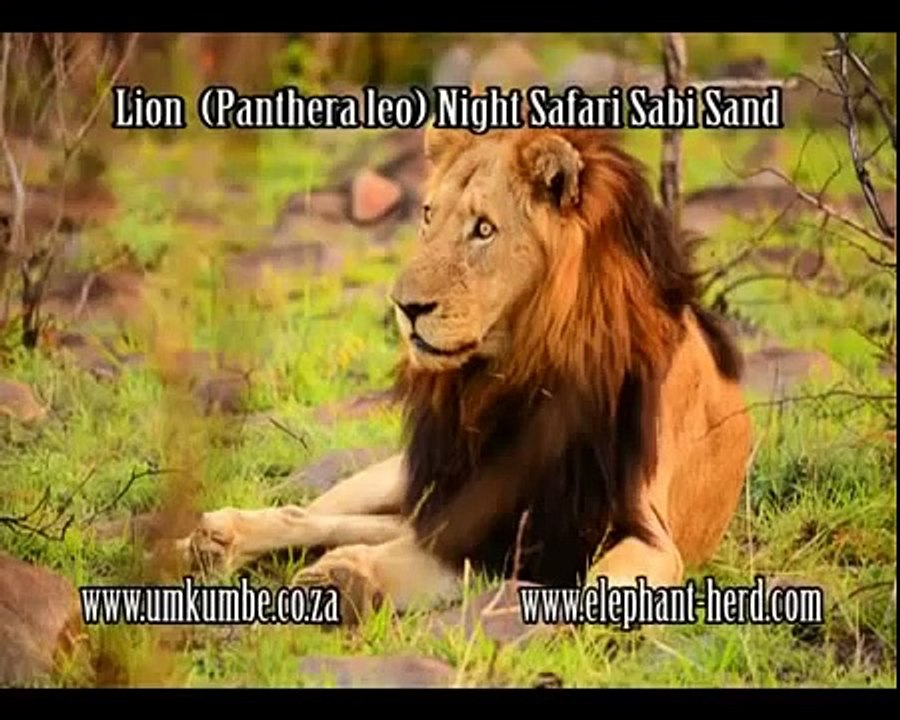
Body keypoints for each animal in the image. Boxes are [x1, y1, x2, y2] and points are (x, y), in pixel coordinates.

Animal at [177, 123, 753, 625]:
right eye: (428, 216)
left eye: (484, 229)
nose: (405, 307)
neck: (520, 375)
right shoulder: (473, 519)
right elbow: (401, 549)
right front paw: (343, 580)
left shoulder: (646, 533)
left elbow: (606, 583)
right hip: (396, 477)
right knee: (315, 513)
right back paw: (206, 541)